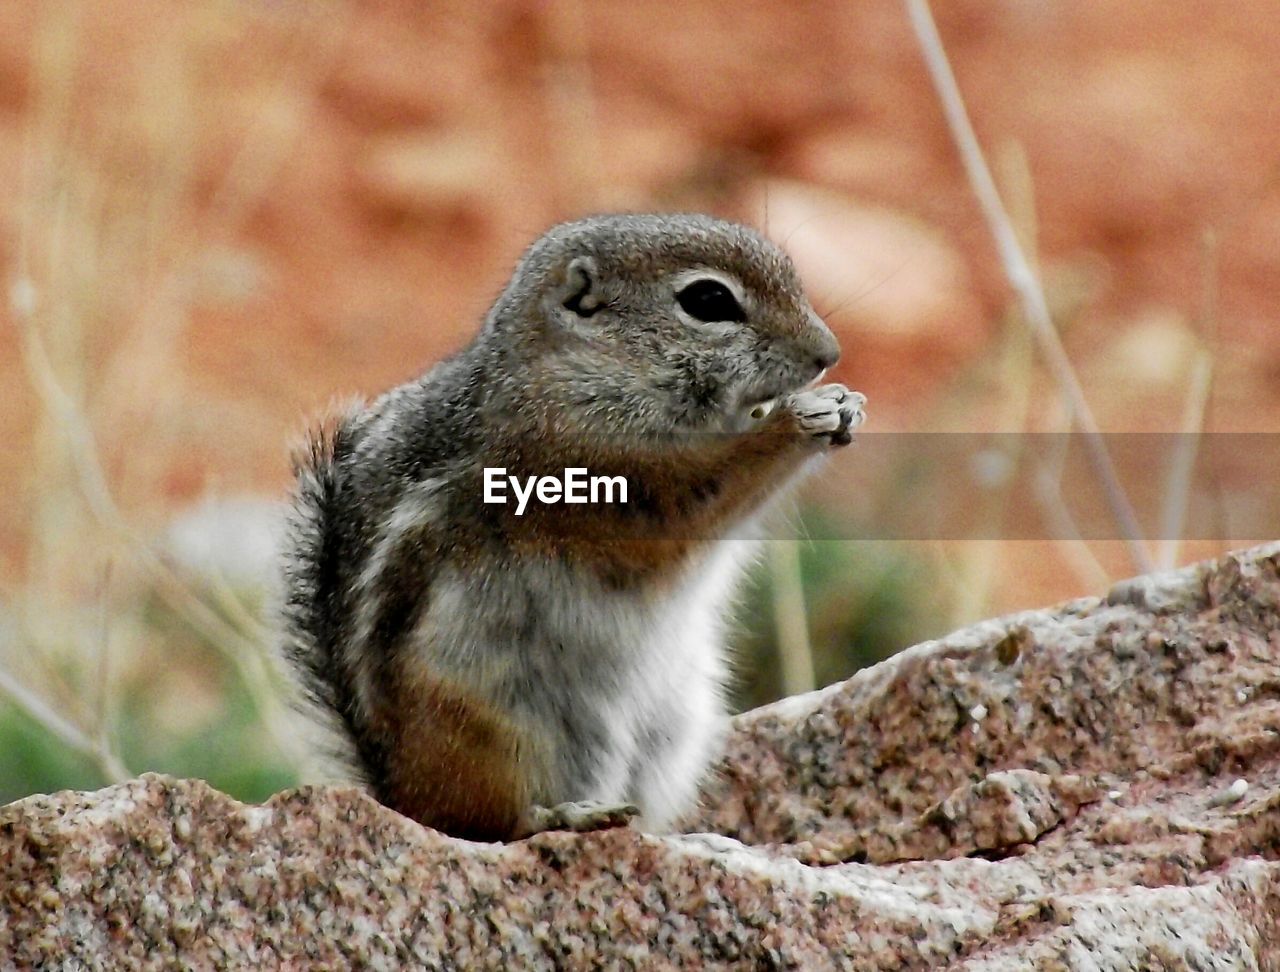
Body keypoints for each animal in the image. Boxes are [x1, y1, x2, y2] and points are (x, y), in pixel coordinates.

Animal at [277, 215, 860, 845]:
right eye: (709, 301)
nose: (828, 354)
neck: (584, 372)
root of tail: (398, 793)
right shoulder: (593, 464)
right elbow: (711, 481)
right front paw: (796, 421)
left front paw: (844, 405)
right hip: (496, 729)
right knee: (495, 822)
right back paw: (568, 814)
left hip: (672, 730)